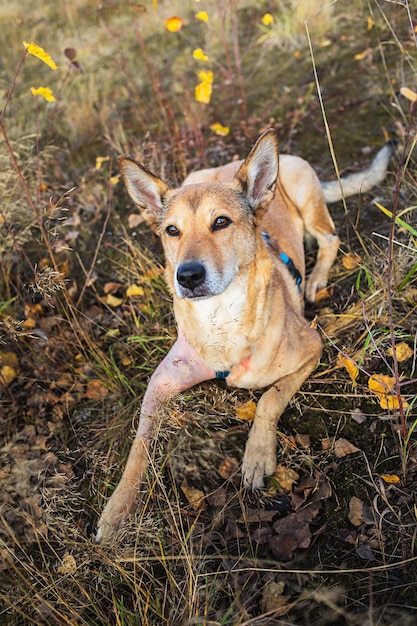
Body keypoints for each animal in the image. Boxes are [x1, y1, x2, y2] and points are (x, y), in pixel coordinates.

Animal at [96, 129, 392, 540]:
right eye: (172, 230)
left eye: (221, 222)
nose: (187, 276)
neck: (220, 320)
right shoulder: (160, 383)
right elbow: (140, 445)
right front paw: (117, 509)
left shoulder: (311, 347)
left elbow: (270, 398)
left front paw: (257, 456)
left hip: (307, 199)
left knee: (329, 238)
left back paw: (315, 278)